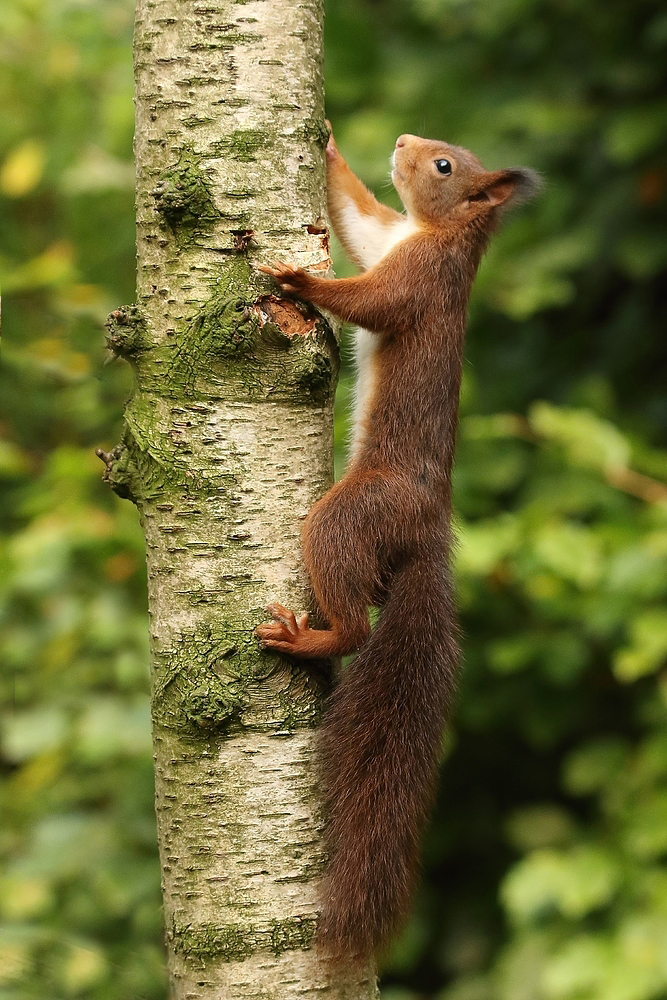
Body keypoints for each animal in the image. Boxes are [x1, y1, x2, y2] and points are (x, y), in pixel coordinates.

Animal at [254, 129, 536, 956]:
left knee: (353, 627)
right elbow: (355, 215)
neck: (432, 232)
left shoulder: (419, 281)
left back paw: (308, 639)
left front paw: (298, 278)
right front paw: (328, 145)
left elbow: (370, 301)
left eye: (445, 166)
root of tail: (427, 533)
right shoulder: (385, 236)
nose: (406, 140)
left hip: (351, 516)